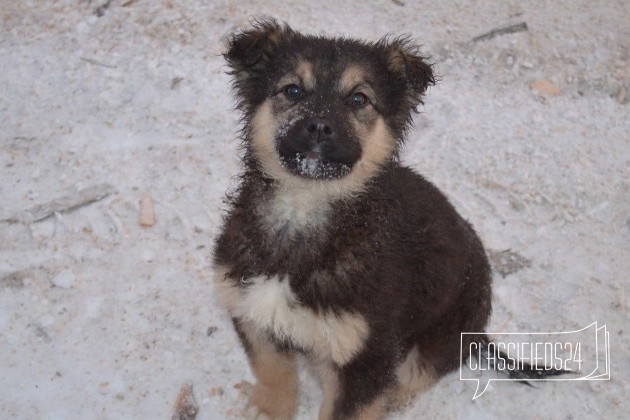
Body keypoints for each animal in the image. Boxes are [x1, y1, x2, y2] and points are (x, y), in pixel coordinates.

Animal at [215, 19, 496, 420]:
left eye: (359, 99)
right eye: (292, 90)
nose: (319, 126)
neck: (304, 210)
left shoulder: (368, 356)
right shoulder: (250, 310)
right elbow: (273, 371)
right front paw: (268, 410)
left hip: (447, 333)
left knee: (421, 371)